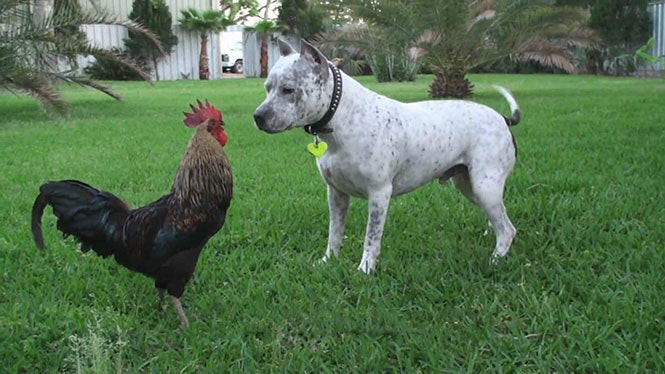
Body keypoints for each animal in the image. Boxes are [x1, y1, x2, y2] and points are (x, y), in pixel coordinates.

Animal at [253, 39, 520, 274]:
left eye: (288, 90)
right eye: (267, 89)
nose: (258, 116)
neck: (343, 117)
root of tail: (504, 119)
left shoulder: (379, 194)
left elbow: (371, 237)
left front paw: (365, 269)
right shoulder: (336, 194)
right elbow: (334, 233)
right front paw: (328, 261)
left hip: (485, 186)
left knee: (508, 229)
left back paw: (496, 259)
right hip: (470, 185)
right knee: (498, 217)